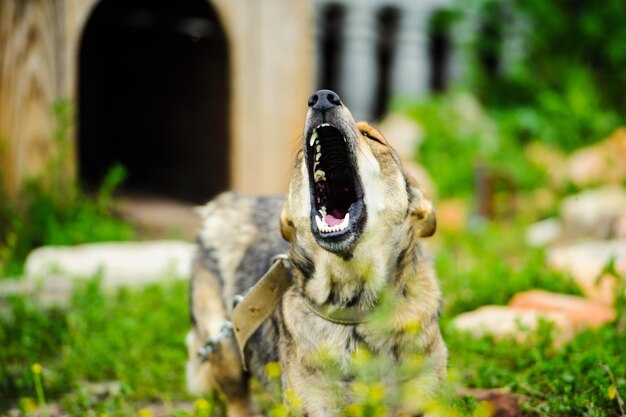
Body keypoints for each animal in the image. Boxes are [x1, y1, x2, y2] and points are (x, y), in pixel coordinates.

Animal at [185, 89, 444, 414]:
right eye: (299, 157)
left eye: (372, 137)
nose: (322, 97)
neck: (354, 304)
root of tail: (222, 203)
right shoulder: (313, 405)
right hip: (222, 340)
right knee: (236, 397)